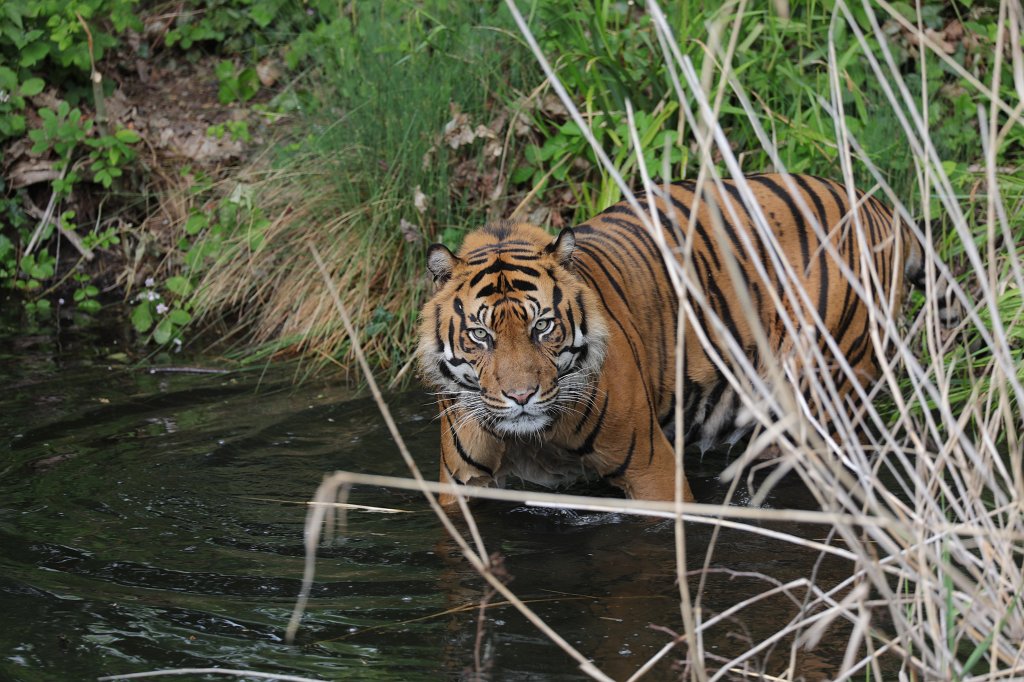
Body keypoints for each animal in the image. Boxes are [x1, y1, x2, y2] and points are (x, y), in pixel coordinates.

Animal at [416, 173, 956, 506]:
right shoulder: (462, 488)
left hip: (818, 394)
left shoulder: (653, 472)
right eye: (480, 335)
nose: (521, 397)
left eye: (543, 326)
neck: (533, 440)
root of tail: (881, 207)